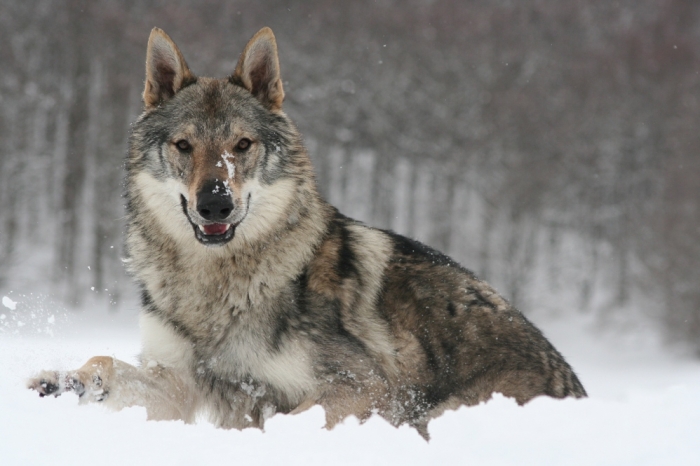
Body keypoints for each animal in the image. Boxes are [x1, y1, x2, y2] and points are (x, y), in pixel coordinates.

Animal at [27, 27, 584, 438]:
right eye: (184, 146)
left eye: (242, 144)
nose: (215, 202)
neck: (217, 286)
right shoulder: (181, 382)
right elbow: (106, 361)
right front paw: (64, 380)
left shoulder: (367, 389)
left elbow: (285, 425)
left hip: (440, 411)